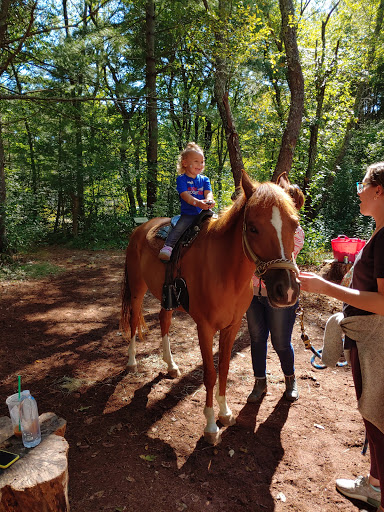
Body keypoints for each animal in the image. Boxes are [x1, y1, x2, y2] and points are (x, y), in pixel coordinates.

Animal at [120, 172, 300, 444]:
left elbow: (223, 369)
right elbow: (210, 374)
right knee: (133, 321)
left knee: (164, 320)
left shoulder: (232, 326)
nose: (286, 290)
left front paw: (225, 413)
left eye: (295, 224)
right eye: (253, 227)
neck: (226, 271)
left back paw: (170, 365)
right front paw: (211, 426)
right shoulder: (204, 328)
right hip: (137, 289)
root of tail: (140, 228)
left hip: (166, 298)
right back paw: (132, 362)